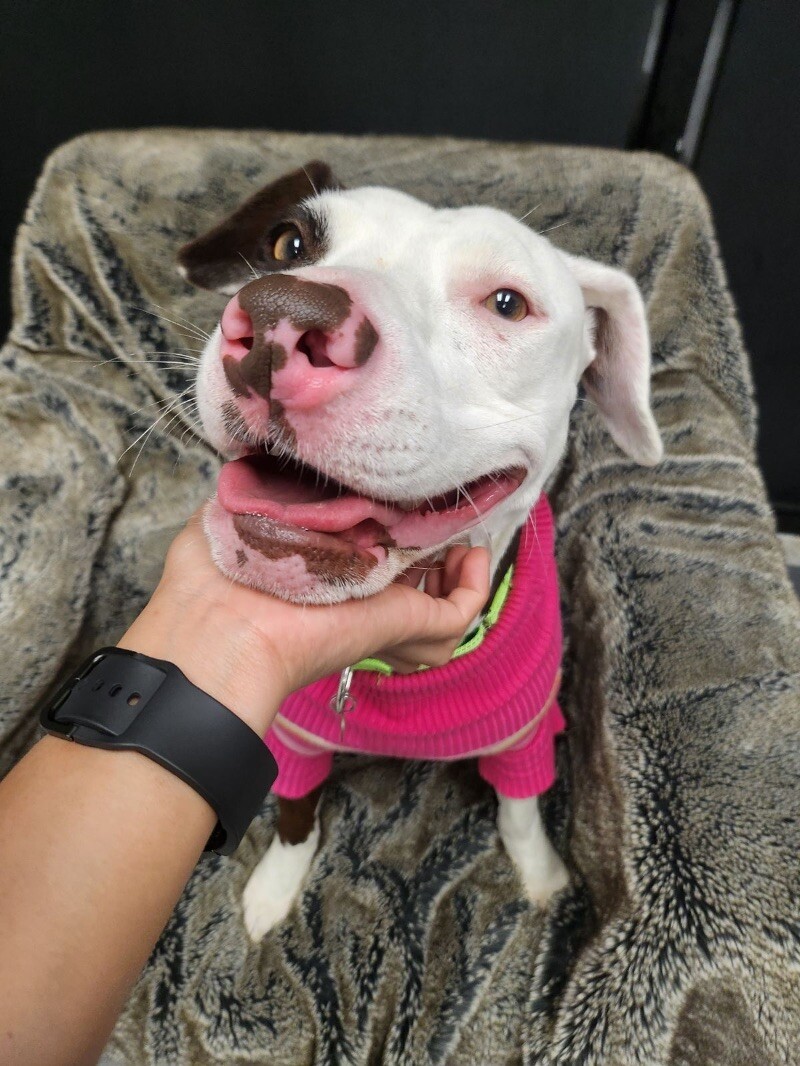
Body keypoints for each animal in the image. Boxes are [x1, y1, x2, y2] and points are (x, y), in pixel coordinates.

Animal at [177, 159, 665, 942]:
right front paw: (276, 889)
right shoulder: (293, 740)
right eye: (288, 244)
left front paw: (539, 877)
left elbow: (520, 812)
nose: (284, 312)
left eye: (507, 303)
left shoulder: (523, 734)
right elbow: (295, 818)